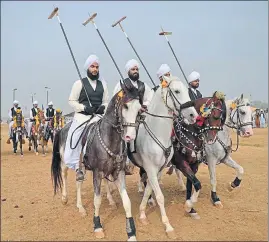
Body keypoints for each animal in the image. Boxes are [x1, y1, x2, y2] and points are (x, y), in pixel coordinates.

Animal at [50, 82, 142, 241]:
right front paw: (97, 226)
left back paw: (84, 206)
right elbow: (97, 200)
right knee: (64, 174)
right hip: (66, 161)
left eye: (139, 108)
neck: (109, 138)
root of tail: (62, 128)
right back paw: (66, 199)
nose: (129, 137)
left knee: (79, 181)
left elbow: (127, 201)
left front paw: (131, 232)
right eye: (125, 106)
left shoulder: (118, 172)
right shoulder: (97, 172)